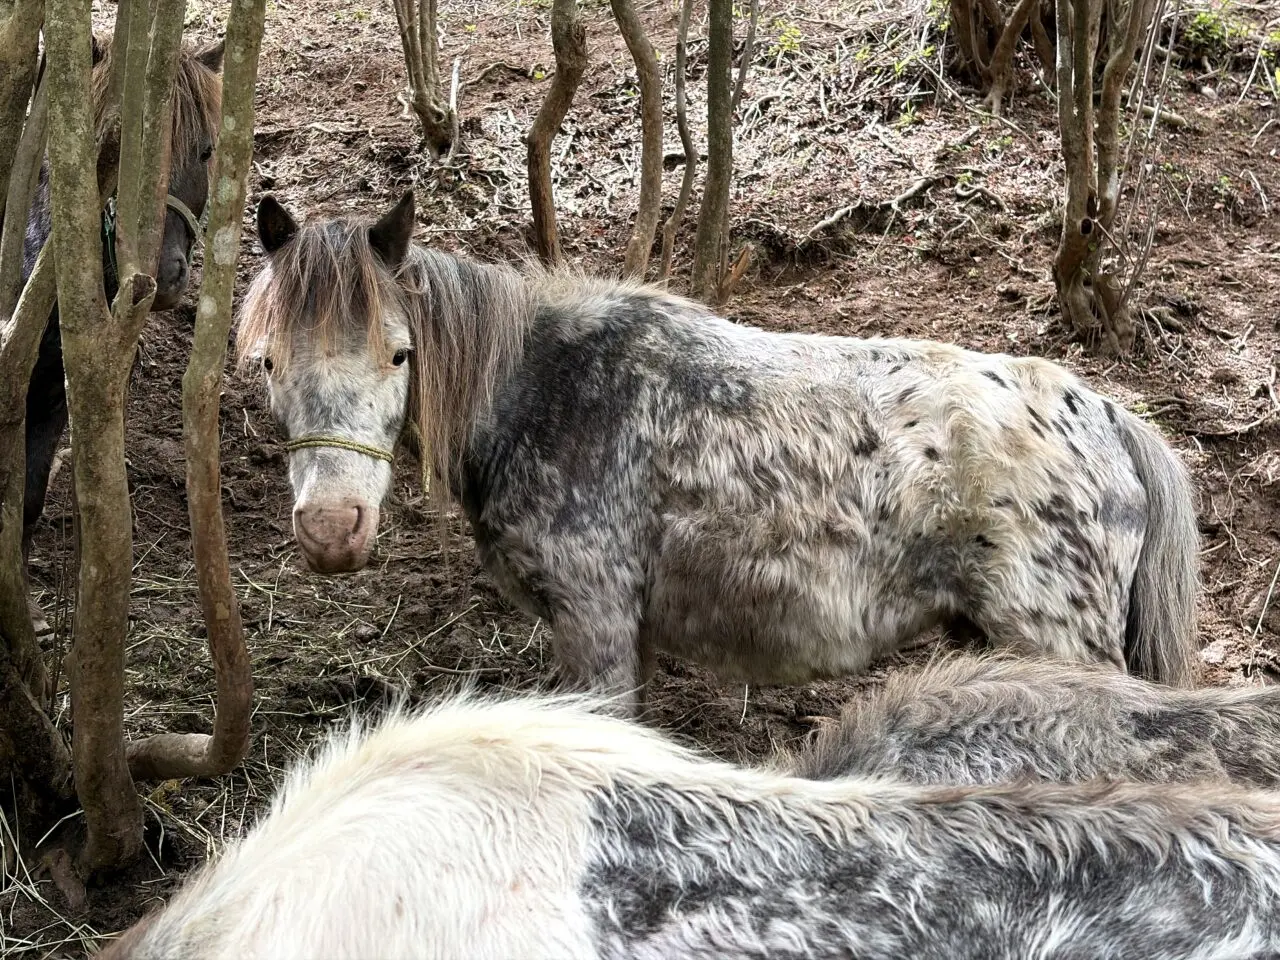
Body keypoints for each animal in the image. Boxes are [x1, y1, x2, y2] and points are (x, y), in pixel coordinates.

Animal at [238, 190, 1199, 714]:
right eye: (270, 361)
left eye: (399, 354)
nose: (331, 530)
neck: (548, 389)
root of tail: (1106, 415)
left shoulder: (592, 622)